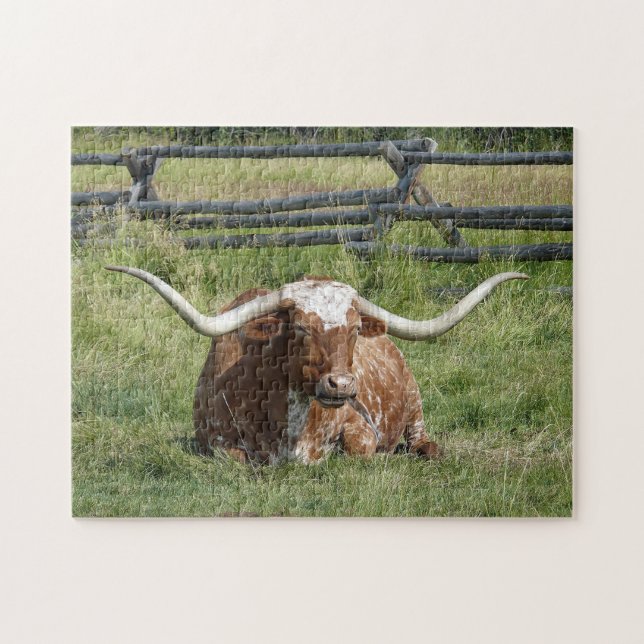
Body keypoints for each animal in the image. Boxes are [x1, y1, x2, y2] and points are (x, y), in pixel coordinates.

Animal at [106, 266, 527, 465]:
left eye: (354, 328)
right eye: (301, 326)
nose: (341, 385)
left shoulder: (360, 426)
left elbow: (359, 449)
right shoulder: (214, 442)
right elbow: (236, 458)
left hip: (414, 400)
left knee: (422, 438)